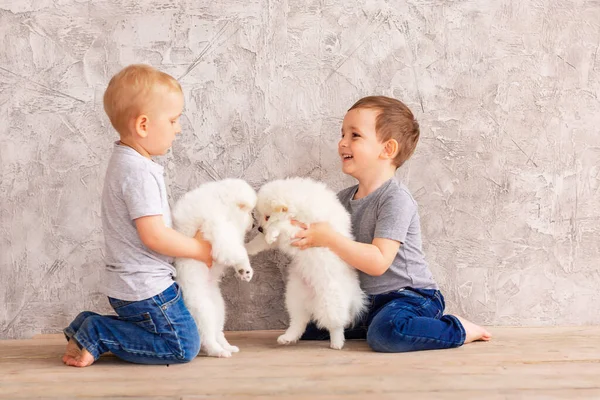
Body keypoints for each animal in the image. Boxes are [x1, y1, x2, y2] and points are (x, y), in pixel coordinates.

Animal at [173, 180, 258, 358]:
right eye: (250, 213)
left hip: (219, 307)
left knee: (218, 331)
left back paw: (227, 347)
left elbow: (237, 251)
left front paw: (243, 271)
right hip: (202, 308)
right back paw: (218, 351)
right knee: (207, 336)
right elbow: (238, 251)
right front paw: (246, 269)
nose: (255, 224)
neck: (222, 204)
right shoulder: (219, 229)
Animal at [245, 177, 366, 348]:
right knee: (298, 321)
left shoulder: (305, 230)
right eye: (260, 215)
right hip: (294, 297)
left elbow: (282, 226)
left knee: (336, 324)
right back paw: (287, 337)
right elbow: (259, 243)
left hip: (330, 300)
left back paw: (337, 343)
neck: (298, 208)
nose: (260, 228)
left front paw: (272, 231)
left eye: (267, 216)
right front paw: (246, 247)